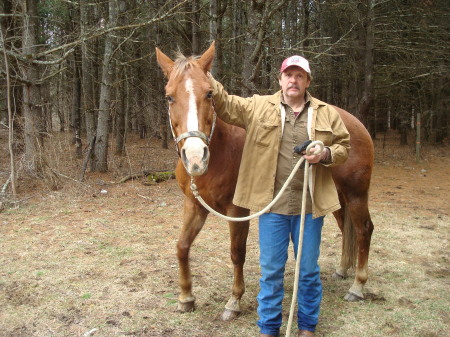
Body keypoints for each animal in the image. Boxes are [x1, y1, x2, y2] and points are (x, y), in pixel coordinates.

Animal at [156, 42, 374, 320]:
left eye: (208, 94)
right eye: (169, 97)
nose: (195, 157)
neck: (220, 150)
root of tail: (355, 125)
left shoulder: (237, 210)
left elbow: (237, 252)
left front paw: (234, 301)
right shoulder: (194, 205)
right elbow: (182, 247)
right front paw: (186, 297)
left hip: (357, 193)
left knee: (363, 230)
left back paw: (358, 286)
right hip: (336, 197)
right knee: (346, 227)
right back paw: (343, 270)